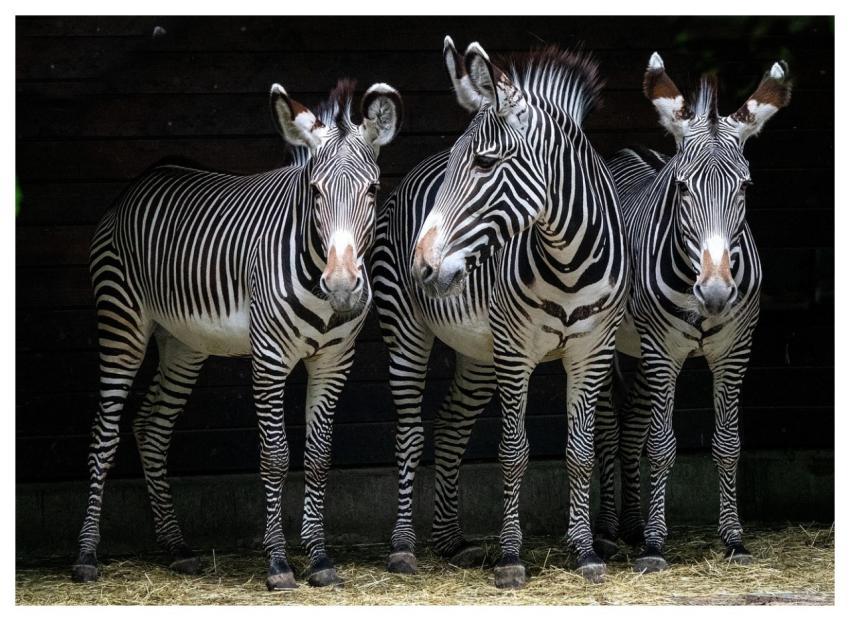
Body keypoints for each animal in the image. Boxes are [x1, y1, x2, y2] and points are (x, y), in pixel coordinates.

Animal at [70, 78, 402, 590]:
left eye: (373, 189)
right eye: (315, 191)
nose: (344, 286)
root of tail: (144, 178)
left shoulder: (334, 361)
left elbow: (319, 456)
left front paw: (320, 559)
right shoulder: (268, 358)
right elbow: (275, 456)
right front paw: (279, 564)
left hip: (183, 342)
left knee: (151, 427)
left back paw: (178, 548)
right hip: (121, 319)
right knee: (103, 435)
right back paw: (87, 556)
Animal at [370, 37, 628, 588]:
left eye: (486, 164)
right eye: (458, 163)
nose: (422, 266)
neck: (569, 260)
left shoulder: (592, 351)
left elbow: (579, 452)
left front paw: (585, 552)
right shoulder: (515, 353)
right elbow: (513, 451)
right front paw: (511, 557)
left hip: (478, 352)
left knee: (450, 426)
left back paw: (450, 541)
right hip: (408, 333)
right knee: (408, 434)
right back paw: (403, 548)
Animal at [592, 53, 791, 572]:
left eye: (746, 186)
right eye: (682, 187)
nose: (717, 293)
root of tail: (627, 153)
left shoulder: (735, 352)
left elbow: (728, 445)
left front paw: (734, 540)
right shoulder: (664, 352)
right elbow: (662, 446)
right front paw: (655, 547)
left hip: (640, 351)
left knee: (630, 427)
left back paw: (631, 525)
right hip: (607, 341)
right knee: (607, 428)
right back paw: (608, 533)